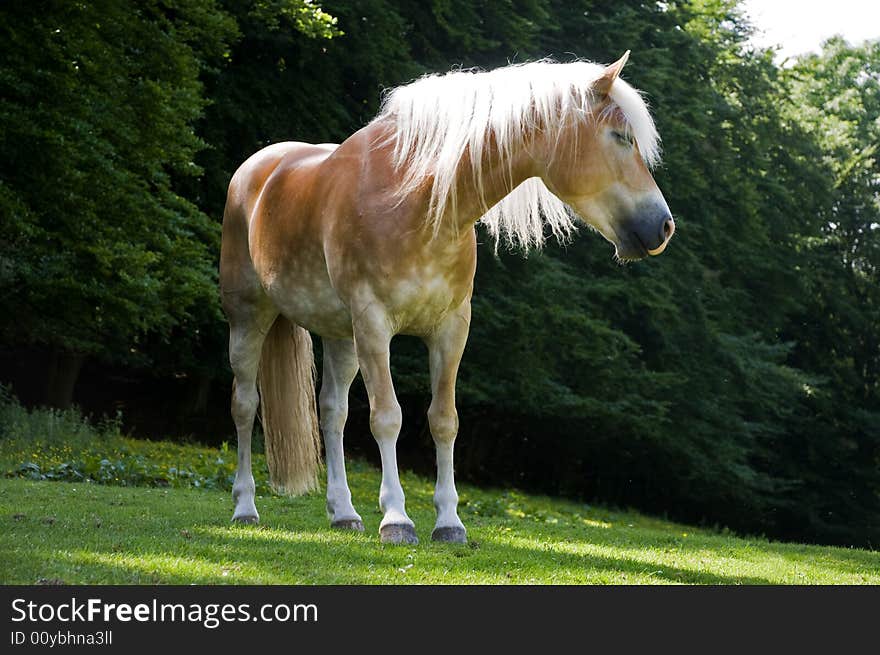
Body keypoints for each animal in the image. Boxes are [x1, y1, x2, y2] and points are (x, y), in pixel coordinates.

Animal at [218, 50, 672, 544]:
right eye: (621, 137)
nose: (664, 227)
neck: (416, 201)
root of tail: (257, 170)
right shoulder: (374, 324)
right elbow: (388, 416)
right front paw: (397, 519)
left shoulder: (451, 328)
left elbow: (443, 419)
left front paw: (449, 522)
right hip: (249, 319)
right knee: (244, 405)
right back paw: (245, 508)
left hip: (341, 338)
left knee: (332, 412)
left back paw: (344, 513)